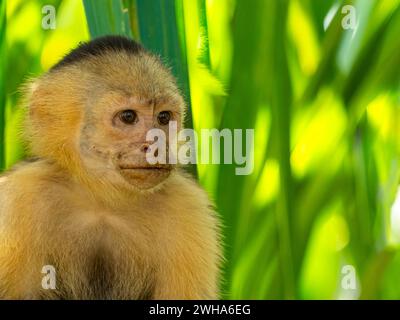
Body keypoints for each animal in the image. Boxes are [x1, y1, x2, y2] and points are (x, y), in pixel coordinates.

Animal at [0, 35, 222, 300]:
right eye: (128, 117)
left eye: (164, 118)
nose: (157, 146)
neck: (103, 201)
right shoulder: (17, 197)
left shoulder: (190, 206)